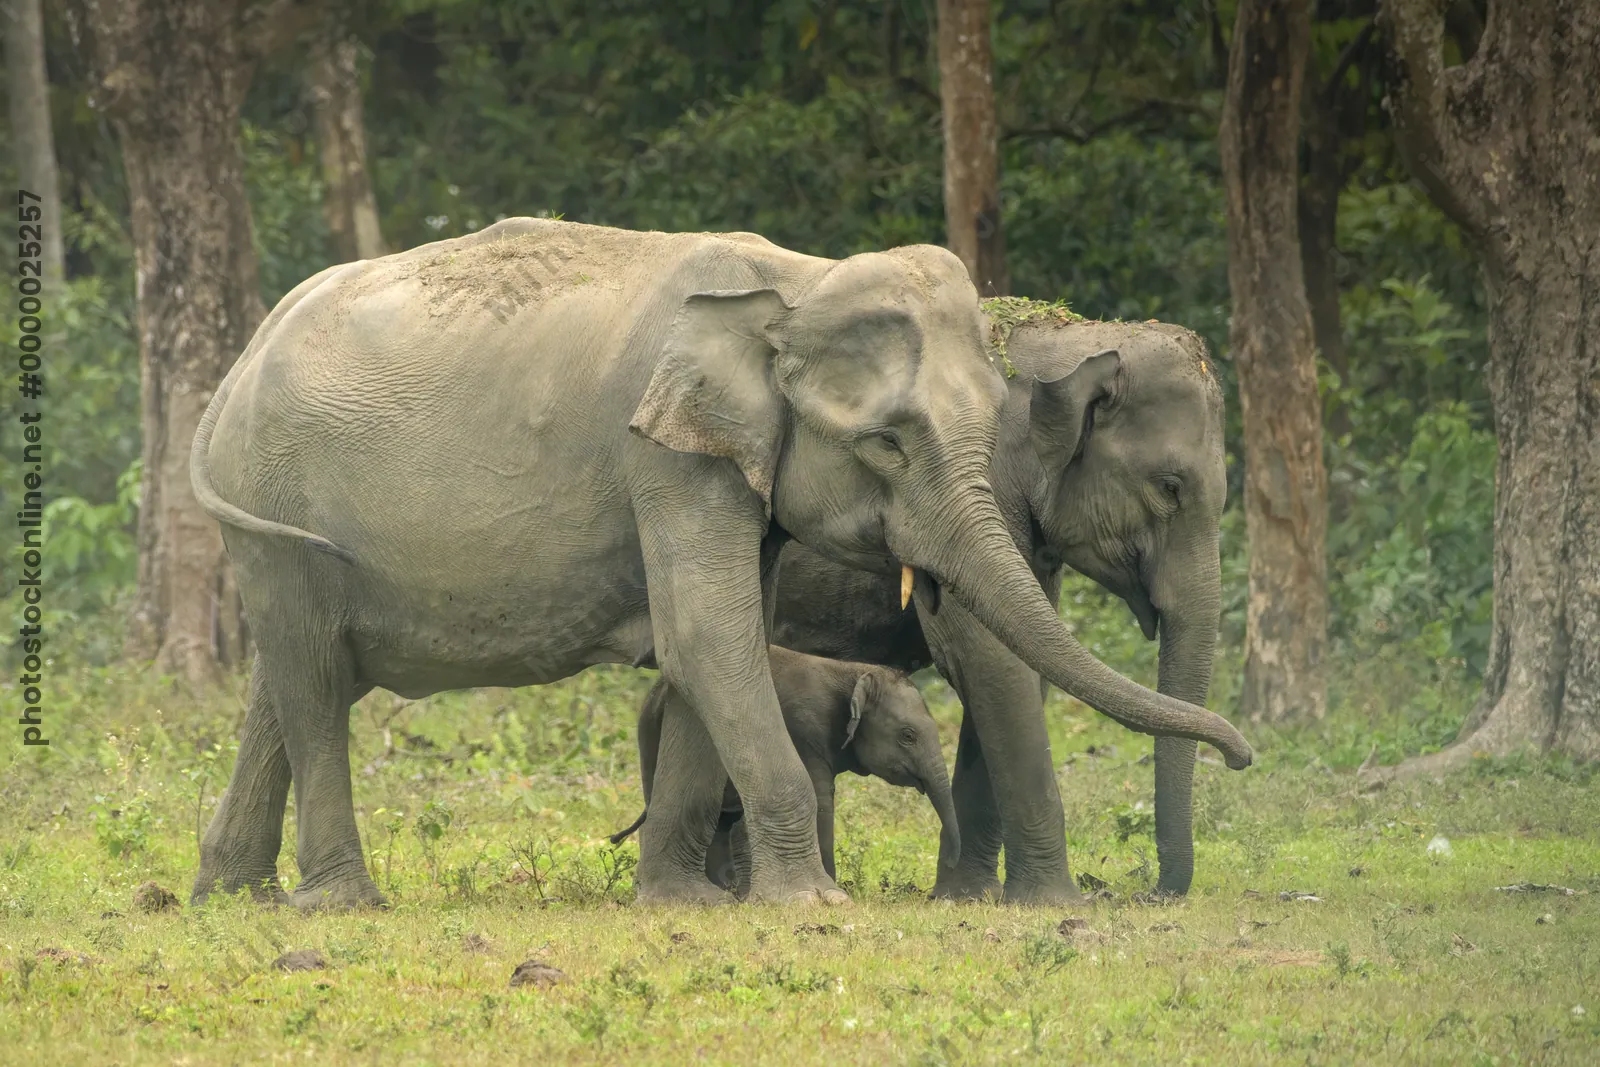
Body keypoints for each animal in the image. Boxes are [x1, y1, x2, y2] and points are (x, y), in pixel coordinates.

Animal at [609, 644, 958, 898]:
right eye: (908, 736)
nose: (935, 893)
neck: (852, 671)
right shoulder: (803, 730)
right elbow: (821, 799)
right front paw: (832, 889)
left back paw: (730, 891)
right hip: (649, 738)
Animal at [758, 301, 1230, 901]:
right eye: (1170, 486)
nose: (1147, 893)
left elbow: (1020, 666)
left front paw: (966, 897)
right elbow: (993, 661)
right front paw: (1050, 901)